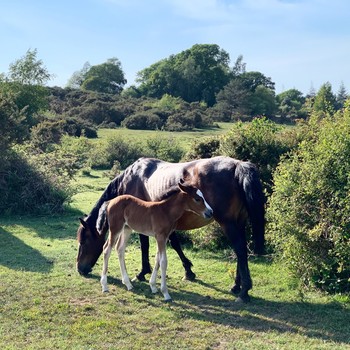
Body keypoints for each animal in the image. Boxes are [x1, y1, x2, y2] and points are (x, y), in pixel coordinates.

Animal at [77, 157, 266, 302]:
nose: (80, 269)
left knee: (240, 250)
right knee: (241, 251)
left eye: (84, 240)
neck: (131, 178)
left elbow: (148, 247)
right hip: (239, 222)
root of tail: (238, 165)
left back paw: (243, 291)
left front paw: (143, 273)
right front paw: (188, 271)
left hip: (228, 223)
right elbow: (173, 245)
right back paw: (236, 286)